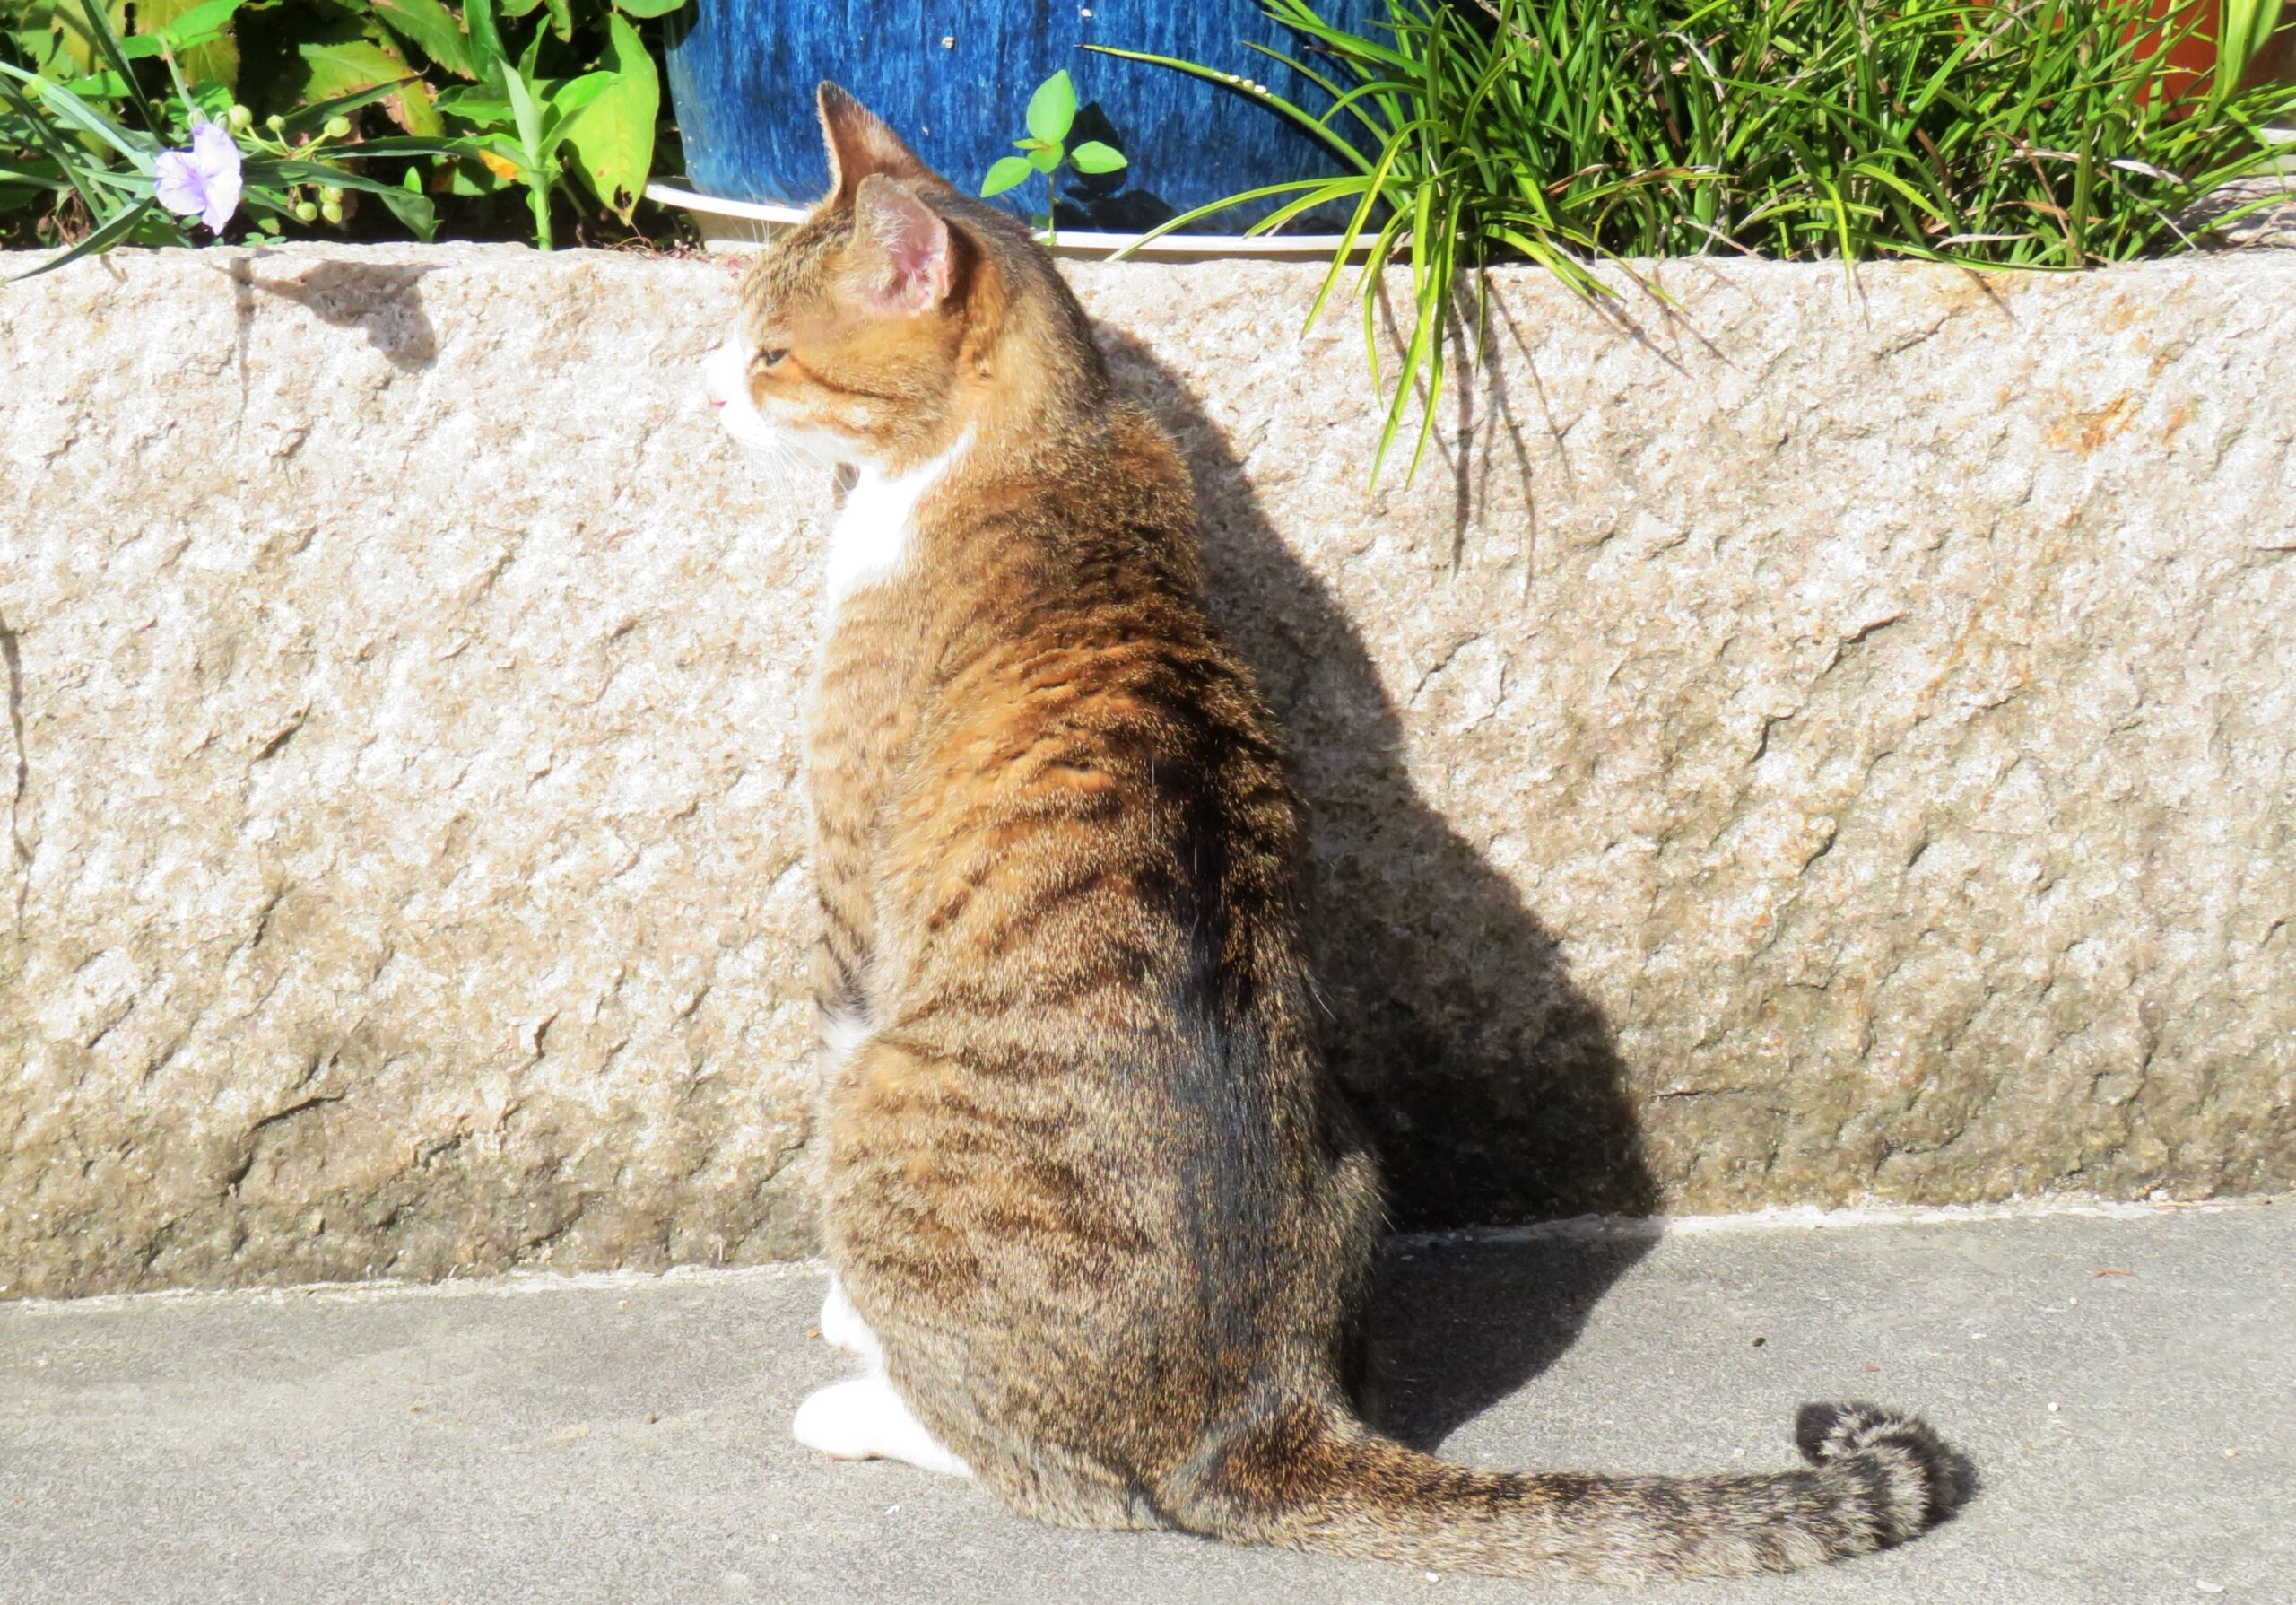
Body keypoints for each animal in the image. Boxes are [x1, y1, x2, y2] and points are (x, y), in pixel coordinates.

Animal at [698, 84, 1956, 1579]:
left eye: (773, 352)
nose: (703, 389)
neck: (1053, 449)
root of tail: (1261, 1406)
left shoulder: (846, 909)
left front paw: (846, 1311)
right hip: (1352, 1141)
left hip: (892, 1103)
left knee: (1047, 1468)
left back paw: (864, 1401)